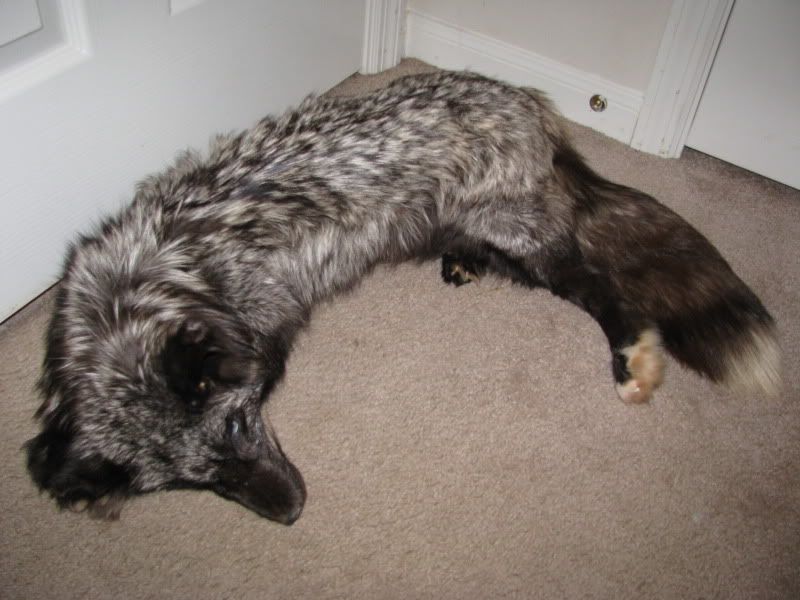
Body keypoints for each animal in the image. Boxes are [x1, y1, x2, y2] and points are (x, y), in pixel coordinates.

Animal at [25, 70, 780, 524]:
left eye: (240, 425)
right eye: (197, 483)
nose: (293, 511)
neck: (156, 280)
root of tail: (527, 102)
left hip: (520, 231)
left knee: (599, 283)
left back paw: (631, 358)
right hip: (474, 229)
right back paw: (466, 265)